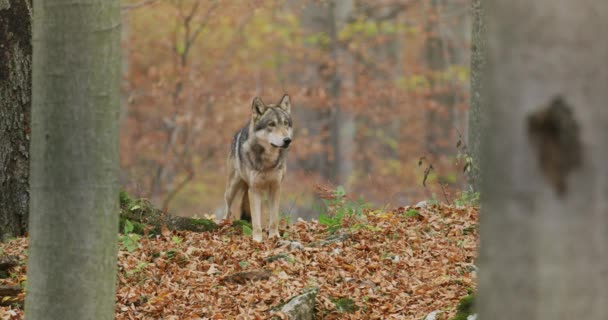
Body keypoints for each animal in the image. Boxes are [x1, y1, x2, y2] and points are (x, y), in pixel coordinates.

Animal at [223, 95, 294, 242]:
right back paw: (223, 224)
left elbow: (274, 219)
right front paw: (257, 240)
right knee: (227, 205)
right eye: (271, 124)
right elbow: (256, 221)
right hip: (233, 186)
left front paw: (274, 236)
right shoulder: (254, 190)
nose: (287, 140)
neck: (268, 161)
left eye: (285, 123)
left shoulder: (275, 187)